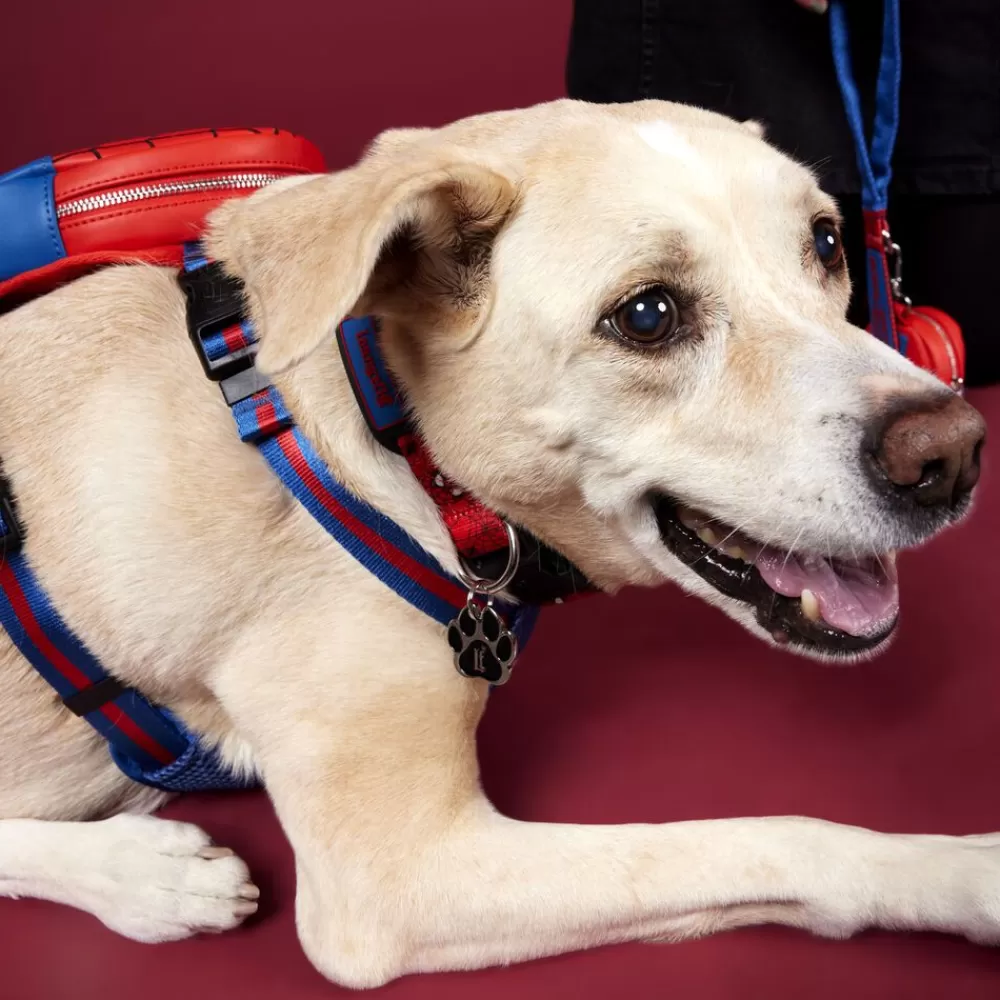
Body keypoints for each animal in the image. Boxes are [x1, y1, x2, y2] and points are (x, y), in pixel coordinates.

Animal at [0, 97, 988, 988]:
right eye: (647, 315)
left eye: (826, 243)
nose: (950, 455)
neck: (391, 434)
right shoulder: (396, 880)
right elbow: (779, 838)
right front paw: (963, 876)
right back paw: (148, 878)